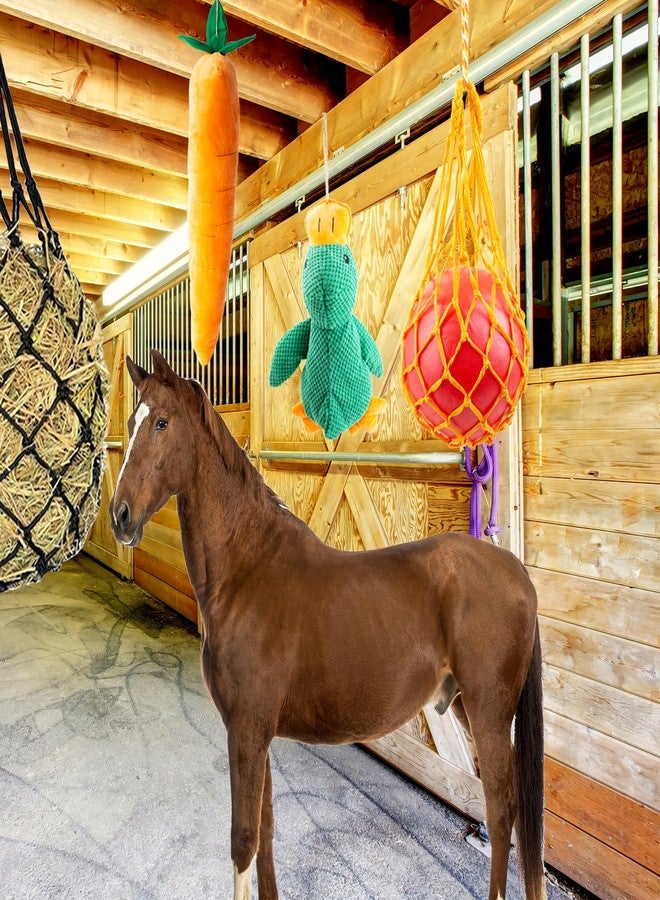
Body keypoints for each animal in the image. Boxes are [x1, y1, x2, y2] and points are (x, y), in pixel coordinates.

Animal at [110, 350, 545, 900]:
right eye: (131, 422)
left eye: (162, 423)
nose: (120, 516)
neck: (247, 569)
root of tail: (515, 570)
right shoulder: (253, 732)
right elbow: (265, 833)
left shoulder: (246, 730)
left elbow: (243, 841)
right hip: (469, 706)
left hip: (489, 712)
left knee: (502, 809)